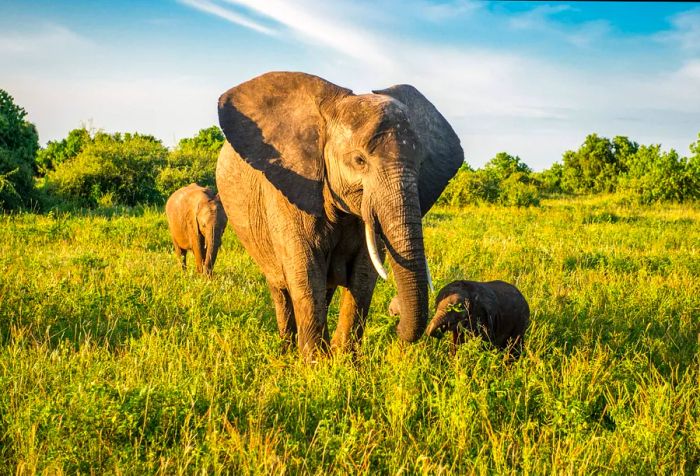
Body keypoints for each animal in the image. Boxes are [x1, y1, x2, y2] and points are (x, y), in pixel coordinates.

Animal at [216, 71, 462, 356]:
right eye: (359, 160)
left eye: (421, 164)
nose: (396, 318)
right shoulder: (287, 189)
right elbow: (307, 273)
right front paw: (314, 363)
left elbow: (364, 274)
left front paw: (343, 359)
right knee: (280, 289)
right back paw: (286, 349)